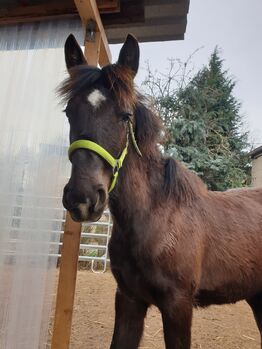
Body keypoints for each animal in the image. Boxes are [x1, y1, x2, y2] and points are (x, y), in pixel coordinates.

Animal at [59, 33, 262, 348]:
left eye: (125, 116)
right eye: (69, 112)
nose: (82, 198)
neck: (155, 217)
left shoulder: (178, 305)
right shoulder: (129, 299)